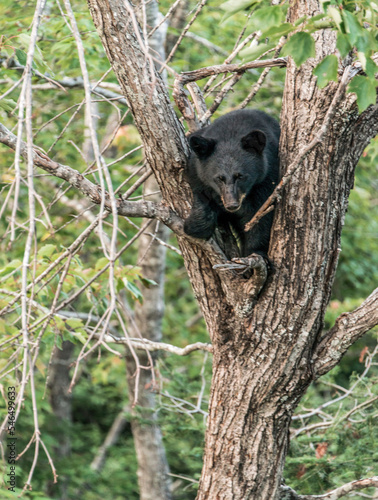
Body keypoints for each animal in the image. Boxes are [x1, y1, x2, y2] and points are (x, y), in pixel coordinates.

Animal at [183, 109, 280, 258]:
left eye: (240, 176)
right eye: (219, 178)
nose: (232, 205)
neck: (231, 133)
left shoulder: (268, 176)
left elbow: (261, 215)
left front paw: (257, 252)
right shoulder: (196, 169)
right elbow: (200, 194)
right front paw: (193, 226)